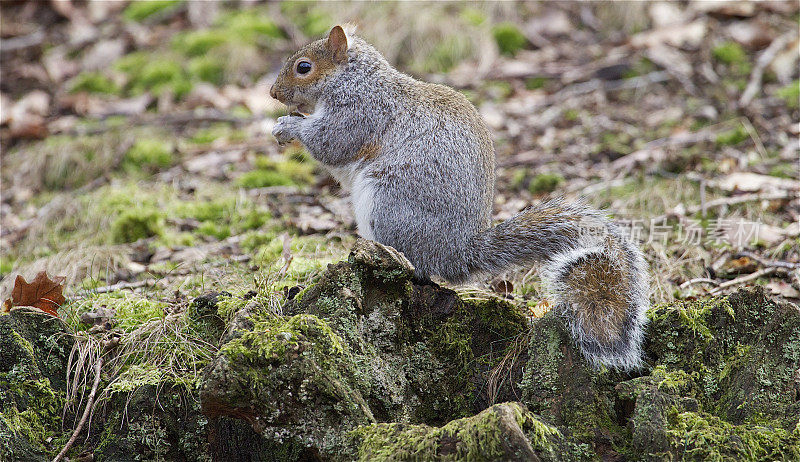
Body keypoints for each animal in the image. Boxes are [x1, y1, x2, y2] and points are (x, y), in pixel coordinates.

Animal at [268, 26, 648, 372]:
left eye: (303, 67)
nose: (273, 92)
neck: (355, 78)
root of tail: (456, 251)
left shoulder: (360, 112)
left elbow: (332, 143)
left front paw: (288, 126)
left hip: (388, 204)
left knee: (417, 270)